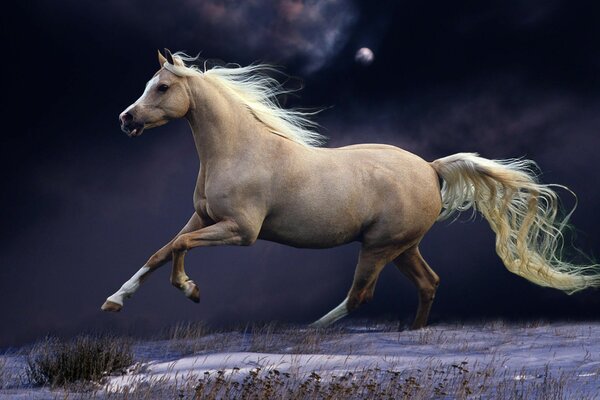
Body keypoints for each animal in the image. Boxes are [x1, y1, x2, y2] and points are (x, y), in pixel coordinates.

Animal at [103, 50, 600, 330]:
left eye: (162, 86)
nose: (126, 119)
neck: (239, 150)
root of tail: (432, 169)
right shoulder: (204, 218)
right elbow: (161, 250)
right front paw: (114, 301)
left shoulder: (240, 231)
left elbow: (178, 248)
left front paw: (190, 290)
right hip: (402, 246)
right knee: (429, 283)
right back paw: (412, 333)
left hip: (379, 246)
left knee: (361, 295)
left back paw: (308, 332)